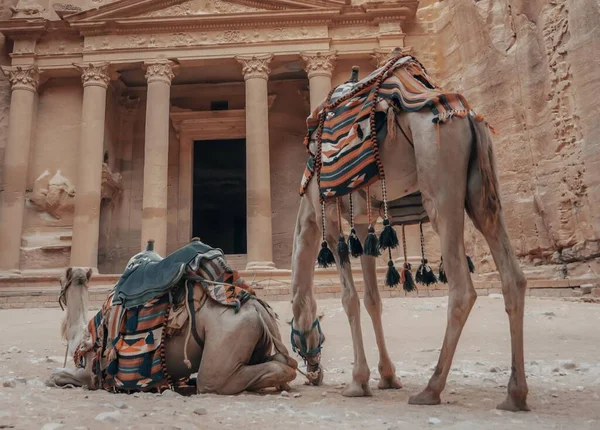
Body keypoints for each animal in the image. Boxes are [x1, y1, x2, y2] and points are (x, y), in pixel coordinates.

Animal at [49, 240, 298, 394]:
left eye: (61, 279)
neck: (82, 335)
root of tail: (256, 306)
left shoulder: (90, 374)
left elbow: (55, 377)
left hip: (226, 341)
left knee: (215, 379)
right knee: (283, 362)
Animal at [290, 55, 528, 412]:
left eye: (296, 329)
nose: (313, 371)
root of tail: (466, 115)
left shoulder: (328, 212)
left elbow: (349, 299)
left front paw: (357, 382)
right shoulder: (364, 221)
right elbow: (373, 299)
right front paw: (387, 377)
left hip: (439, 182)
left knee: (462, 288)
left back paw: (431, 389)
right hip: (482, 194)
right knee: (513, 277)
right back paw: (515, 394)